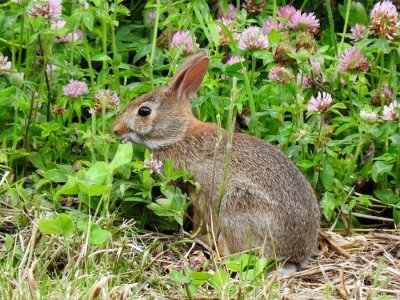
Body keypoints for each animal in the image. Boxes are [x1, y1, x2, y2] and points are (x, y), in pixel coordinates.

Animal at [112, 49, 318, 270]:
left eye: (144, 111)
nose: (116, 129)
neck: (178, 135)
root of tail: (294, 257)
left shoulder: (196, 191)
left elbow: (197, 219)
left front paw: (193, 235)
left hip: (235, 206)